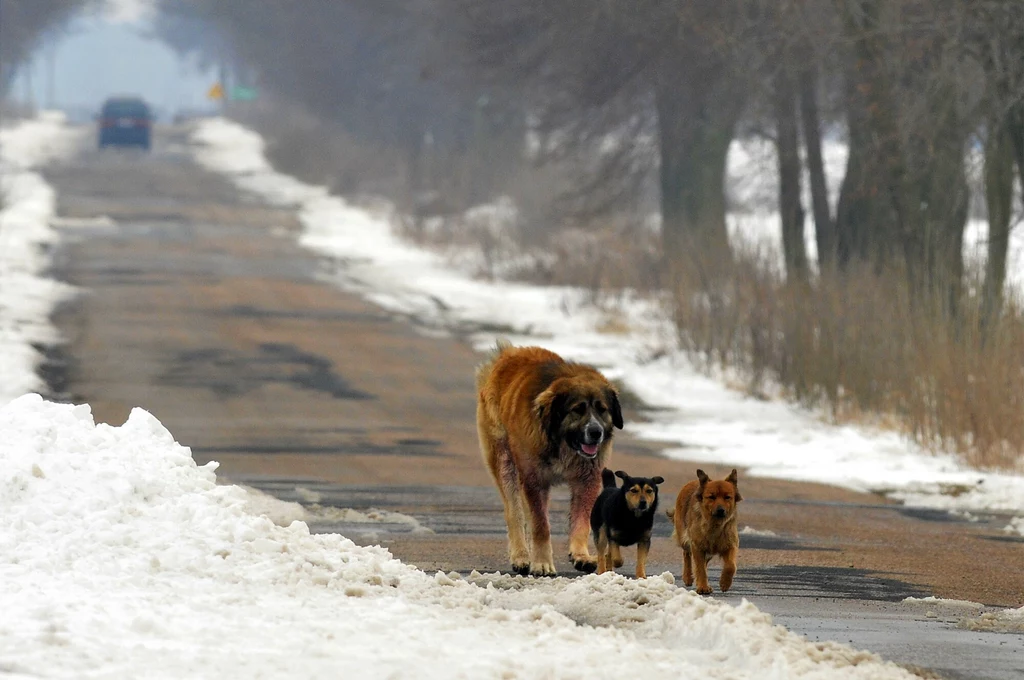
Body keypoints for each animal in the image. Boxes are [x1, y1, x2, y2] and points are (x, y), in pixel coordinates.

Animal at [477, 340, 622, 573]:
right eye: (577, 409)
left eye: (602, 409)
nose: (596, 432)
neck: (561, 444)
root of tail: (508, 353)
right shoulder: (533, 481)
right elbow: (540, 525)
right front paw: (542, 562)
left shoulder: (587, 480)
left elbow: (581, 520)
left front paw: (581, 554)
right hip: (504, 461)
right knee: (514, 512)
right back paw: (520, 556)